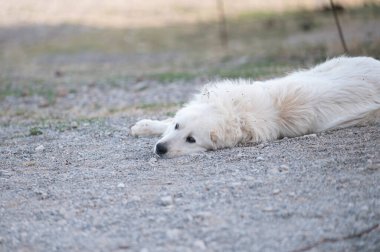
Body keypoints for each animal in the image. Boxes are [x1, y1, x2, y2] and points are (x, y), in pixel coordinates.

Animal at [131, 56, 380, 158]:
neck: (233, 113)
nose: (160, 149)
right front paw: (144, 126)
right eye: (177, 127)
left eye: (191, 140)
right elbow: (165, 120)